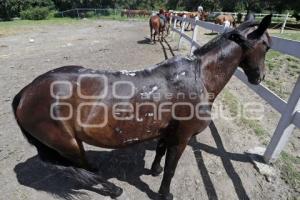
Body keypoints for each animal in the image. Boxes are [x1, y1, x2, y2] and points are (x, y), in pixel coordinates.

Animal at [12, 14, 272, 199]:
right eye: (267, 46)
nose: (259, 77)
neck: (198, 76)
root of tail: (25, 93)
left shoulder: (167, 131)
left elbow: (160, 151)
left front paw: (154, 170)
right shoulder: (182, 137)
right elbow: (171, 168)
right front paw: (164, 193)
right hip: (68, 144)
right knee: (80, 168)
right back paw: (112, 189)